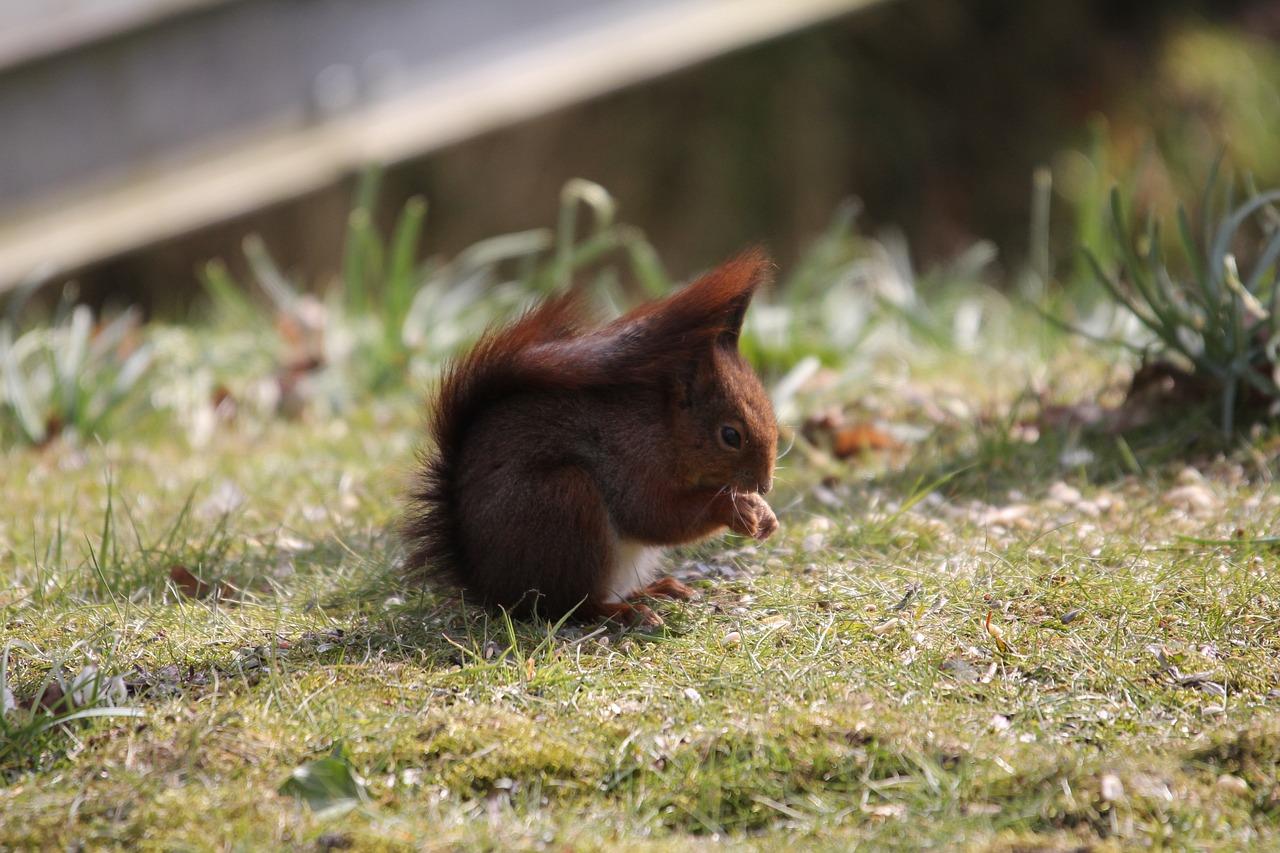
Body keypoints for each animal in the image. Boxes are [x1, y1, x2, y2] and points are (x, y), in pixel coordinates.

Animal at [401, 249, 778, 622]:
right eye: (730, 435)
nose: (764, 485)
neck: (665, 429)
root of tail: (490, 587)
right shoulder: (634, 461)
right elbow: (653, 516)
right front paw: (735, 508)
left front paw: (764, 512)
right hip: (566, 504)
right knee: (572, 604)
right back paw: (626, 612)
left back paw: (656, 590)